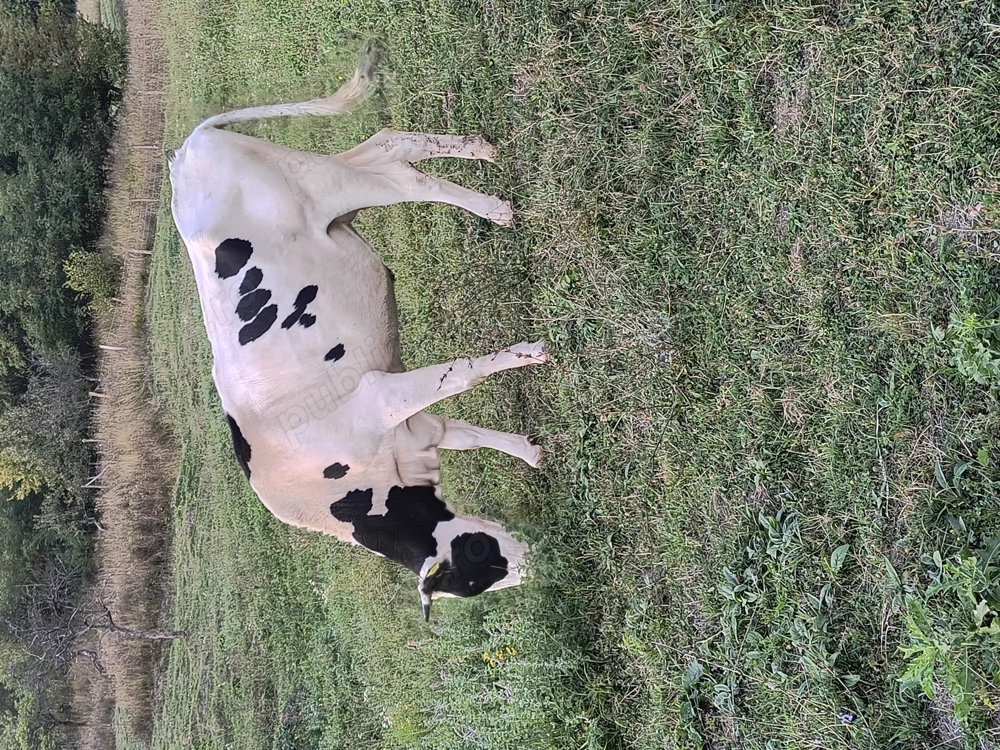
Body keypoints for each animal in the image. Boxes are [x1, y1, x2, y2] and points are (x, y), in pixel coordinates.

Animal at [167, 53, 548, 621]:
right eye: (481, 568)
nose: (537, 562)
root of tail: (186, 152)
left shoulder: (381, 396)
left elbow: (463, 377)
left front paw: (532, 353)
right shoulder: (414, 427)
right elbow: (467, 430)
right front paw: (530, 452)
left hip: (324, 188)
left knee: (396, 171)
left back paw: (493, 203)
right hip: (331, 194)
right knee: (385, 149)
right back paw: (481, 157)